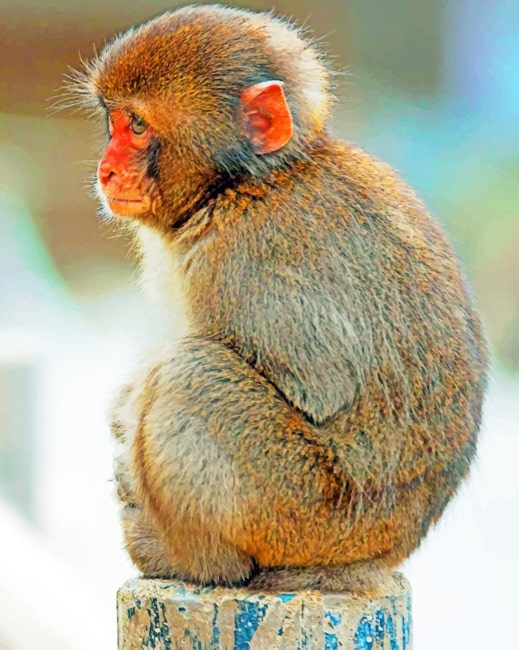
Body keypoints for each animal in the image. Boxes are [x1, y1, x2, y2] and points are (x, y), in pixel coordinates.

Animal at [71, 4, 488, 593]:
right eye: (114, 122)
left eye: (137, 125)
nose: (106, 170)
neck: (244, 186)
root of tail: (380, 554)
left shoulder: (246, 260)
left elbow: (318, 387)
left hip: (302, 514)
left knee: (189, 372)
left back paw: (195, 562)